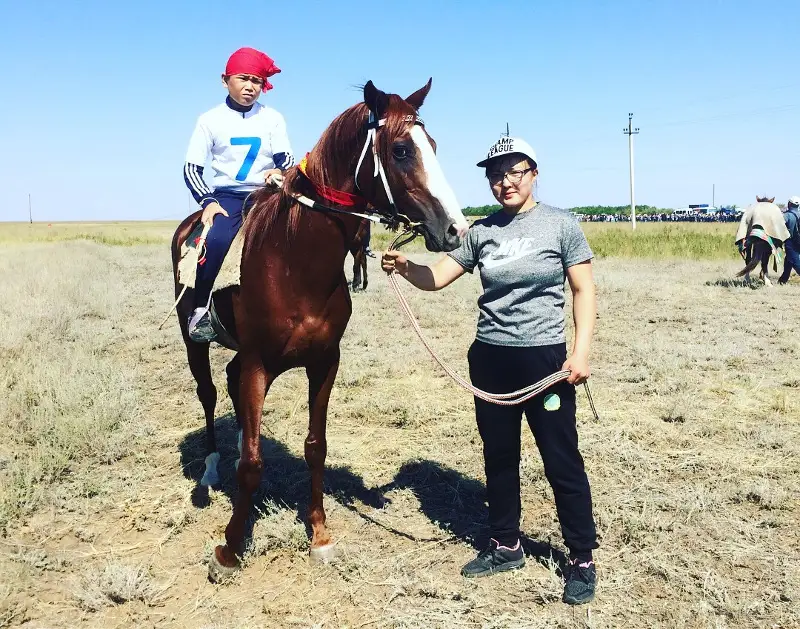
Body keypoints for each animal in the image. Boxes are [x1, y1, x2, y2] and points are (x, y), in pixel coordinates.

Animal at [170, 78, 468, 580]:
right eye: (402, 149)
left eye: (433, 144)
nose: (455, 229)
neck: (295, 261)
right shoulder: (259, 364)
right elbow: (252, 465)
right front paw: (229, 549)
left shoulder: (325, 362)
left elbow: (316, 447)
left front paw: (320, 535)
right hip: (193, 339)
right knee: (208, 393)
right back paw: (210, 471)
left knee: (228, 385)